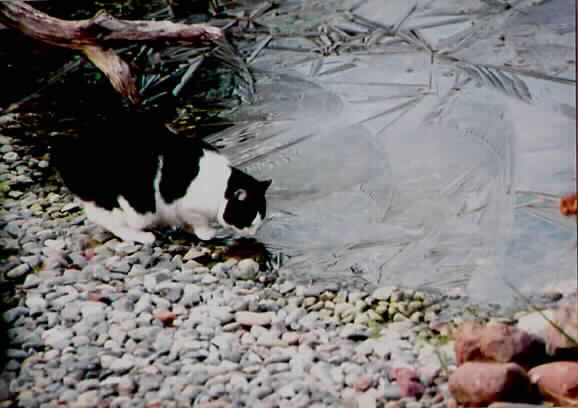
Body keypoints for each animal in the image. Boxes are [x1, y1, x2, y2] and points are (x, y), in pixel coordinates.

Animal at [49, 113, 270, 244]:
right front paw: (205, 232)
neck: (218, 186)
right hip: (132, 203)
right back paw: (142, 236)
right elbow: (197, 220)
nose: (253, 235)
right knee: (108, 220)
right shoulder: (188, 205)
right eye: (249, 220)